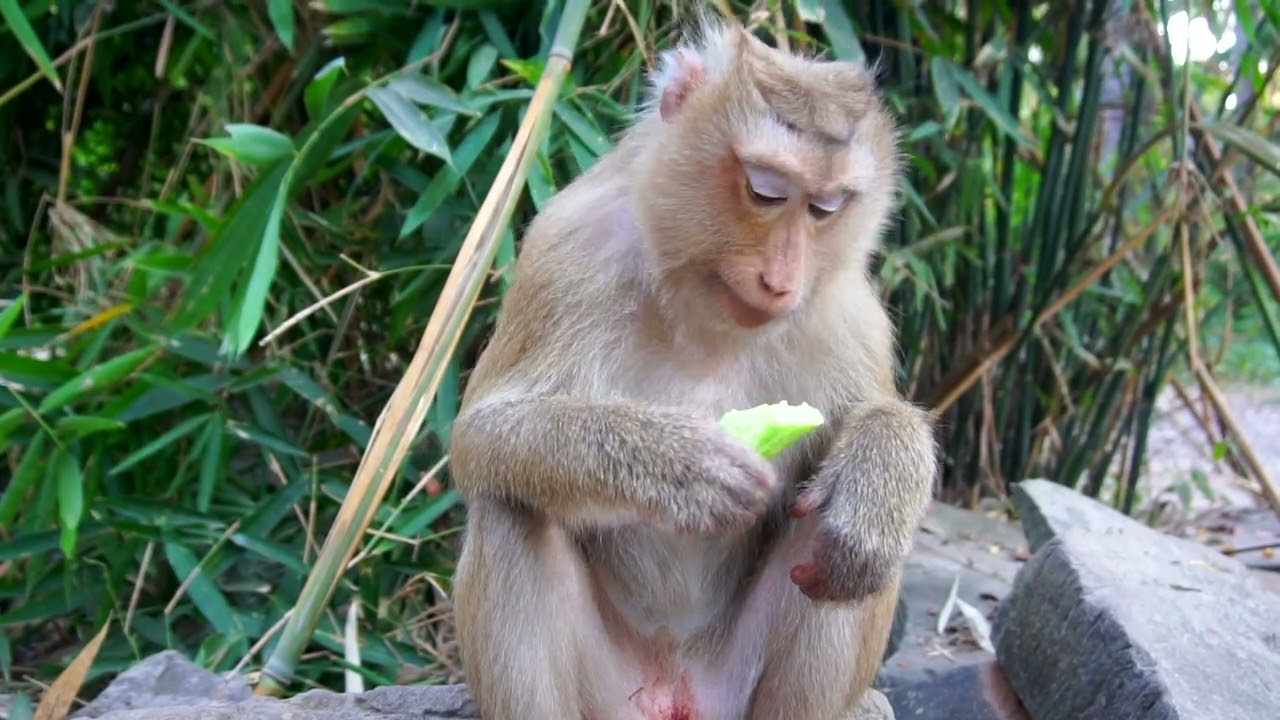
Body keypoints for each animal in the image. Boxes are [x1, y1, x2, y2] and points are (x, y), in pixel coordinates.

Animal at [447, 14, 937, 720]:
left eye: (826, 208)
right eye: (765, 190)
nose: (781, 280)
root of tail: (675, 690)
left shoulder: (849, 311)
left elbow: (873, 418)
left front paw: (878, 474)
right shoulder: (565, 254)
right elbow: (480, 439)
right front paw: (678, 467)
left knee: (829, 538)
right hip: (609, 692)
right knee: (512, 505)